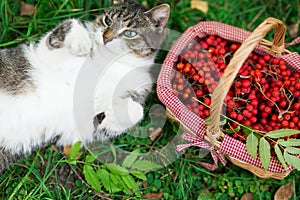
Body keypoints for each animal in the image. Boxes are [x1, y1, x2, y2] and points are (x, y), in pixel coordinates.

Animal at [0, 0, 169, 172]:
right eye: (108, 21)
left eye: (130, 33)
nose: (105, 37)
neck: (108, 62)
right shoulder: (46, 55)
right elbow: (69, 24)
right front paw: (83, 42)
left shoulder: (89, 129)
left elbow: (134, 112)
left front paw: (110, 111)